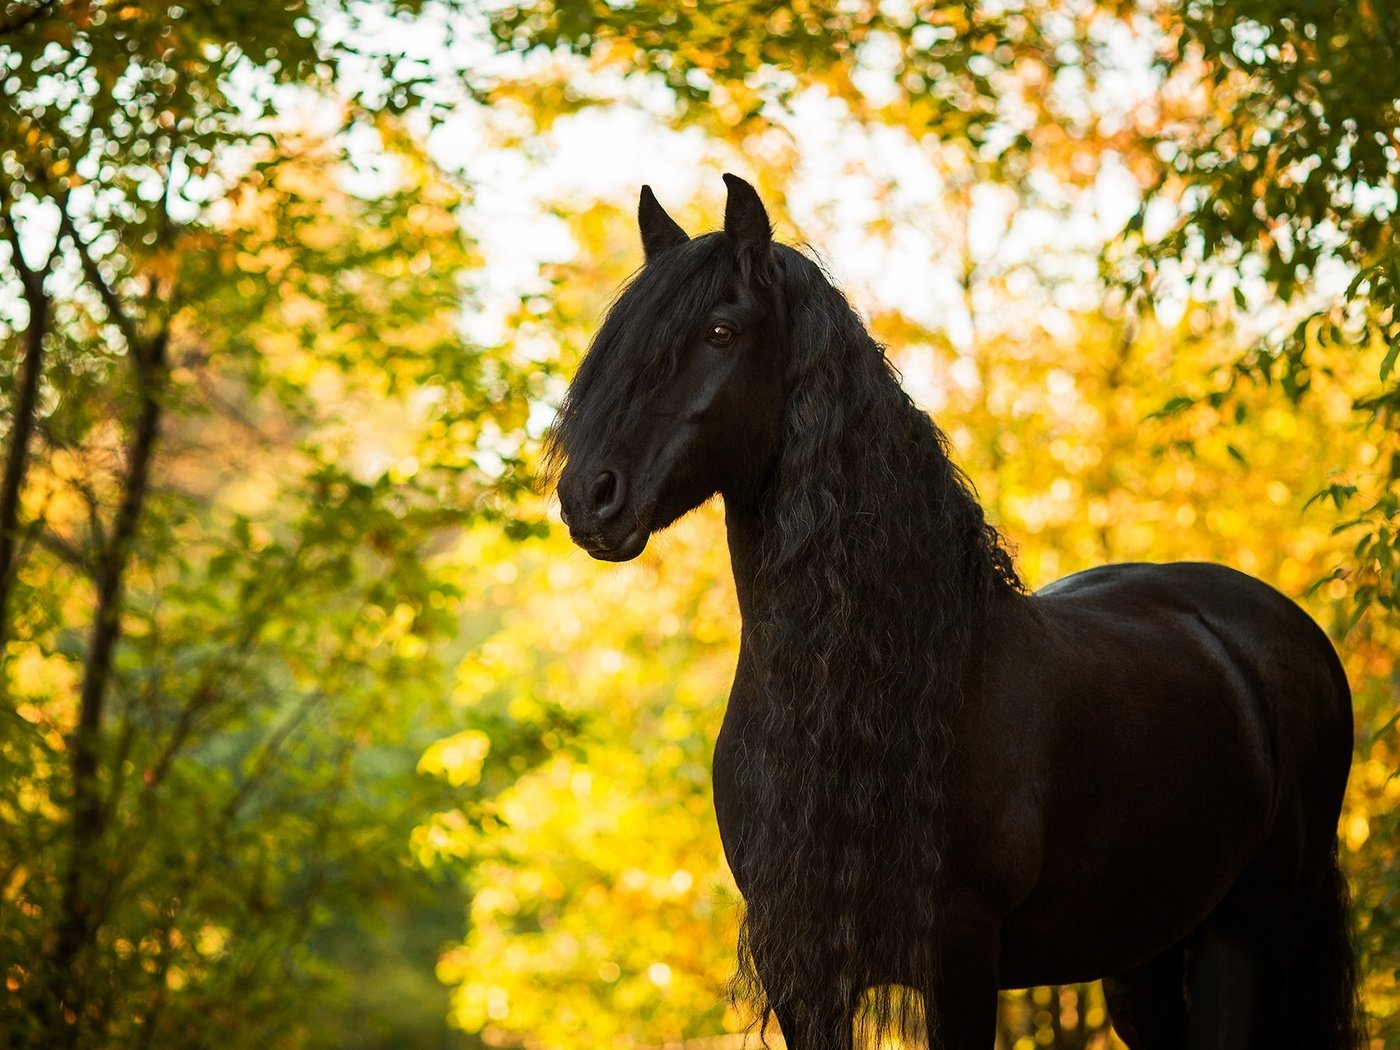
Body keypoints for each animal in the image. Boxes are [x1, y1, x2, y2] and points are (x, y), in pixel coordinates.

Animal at [546, 177, 1355, 1047]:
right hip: (1147, 955)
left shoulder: (960, 958)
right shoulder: (803, 974)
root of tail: (1283, 632)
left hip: (1248, 940)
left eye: (721, 331)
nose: (589, 496)